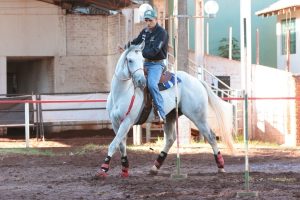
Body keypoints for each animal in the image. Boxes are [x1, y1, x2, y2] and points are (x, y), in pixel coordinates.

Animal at [96, 43, 234, 177]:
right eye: (130, 60)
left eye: (142, 60)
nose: (141, 81)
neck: (121, 93)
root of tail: (197, 81)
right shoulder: (115, 122)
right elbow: (121, 145)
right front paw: (124, 169)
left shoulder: (127, 122)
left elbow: (113, 144)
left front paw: (103, 169)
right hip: (170, 116)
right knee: (170, 139)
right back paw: (154, 167)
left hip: (198, 116)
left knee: (211, 136)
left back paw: (221, 166)